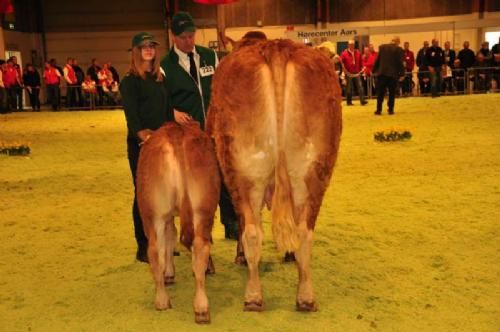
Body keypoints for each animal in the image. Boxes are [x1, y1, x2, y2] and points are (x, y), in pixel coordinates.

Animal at [138, 120, 222, 322]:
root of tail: (176, 132)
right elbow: (172, 238)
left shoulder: (167, 217)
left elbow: (170, 238)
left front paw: (169, 273)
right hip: (201, 209)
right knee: (198, 248)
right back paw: (200, 307)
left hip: (153, 214)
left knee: (156, 251)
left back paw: (163, 300)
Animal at [205, 38, 342, 312]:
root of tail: (276, 47)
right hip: (313, 172)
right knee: (303, 233)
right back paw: (305, 298)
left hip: (242, 174)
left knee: (252, 232)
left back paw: (253, 296)